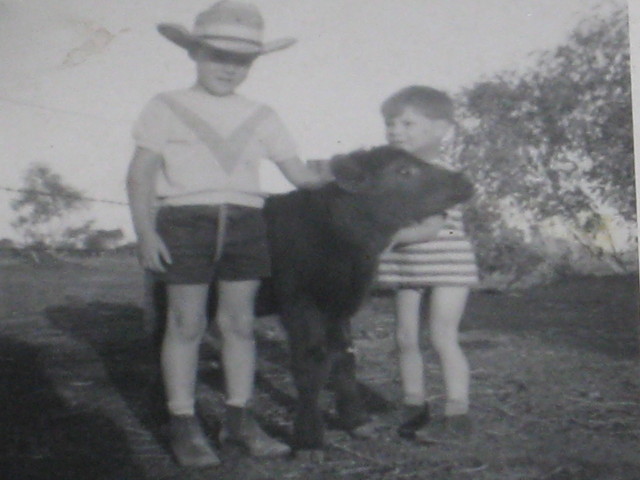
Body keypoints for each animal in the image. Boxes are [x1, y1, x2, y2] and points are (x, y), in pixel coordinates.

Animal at [262, 146, 472, 458]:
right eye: (404, 170)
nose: (464, 179)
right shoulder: (299, 302)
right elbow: (312, 363)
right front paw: (309, 439)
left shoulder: (339, 305)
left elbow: (346, 356)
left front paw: (355, 420)